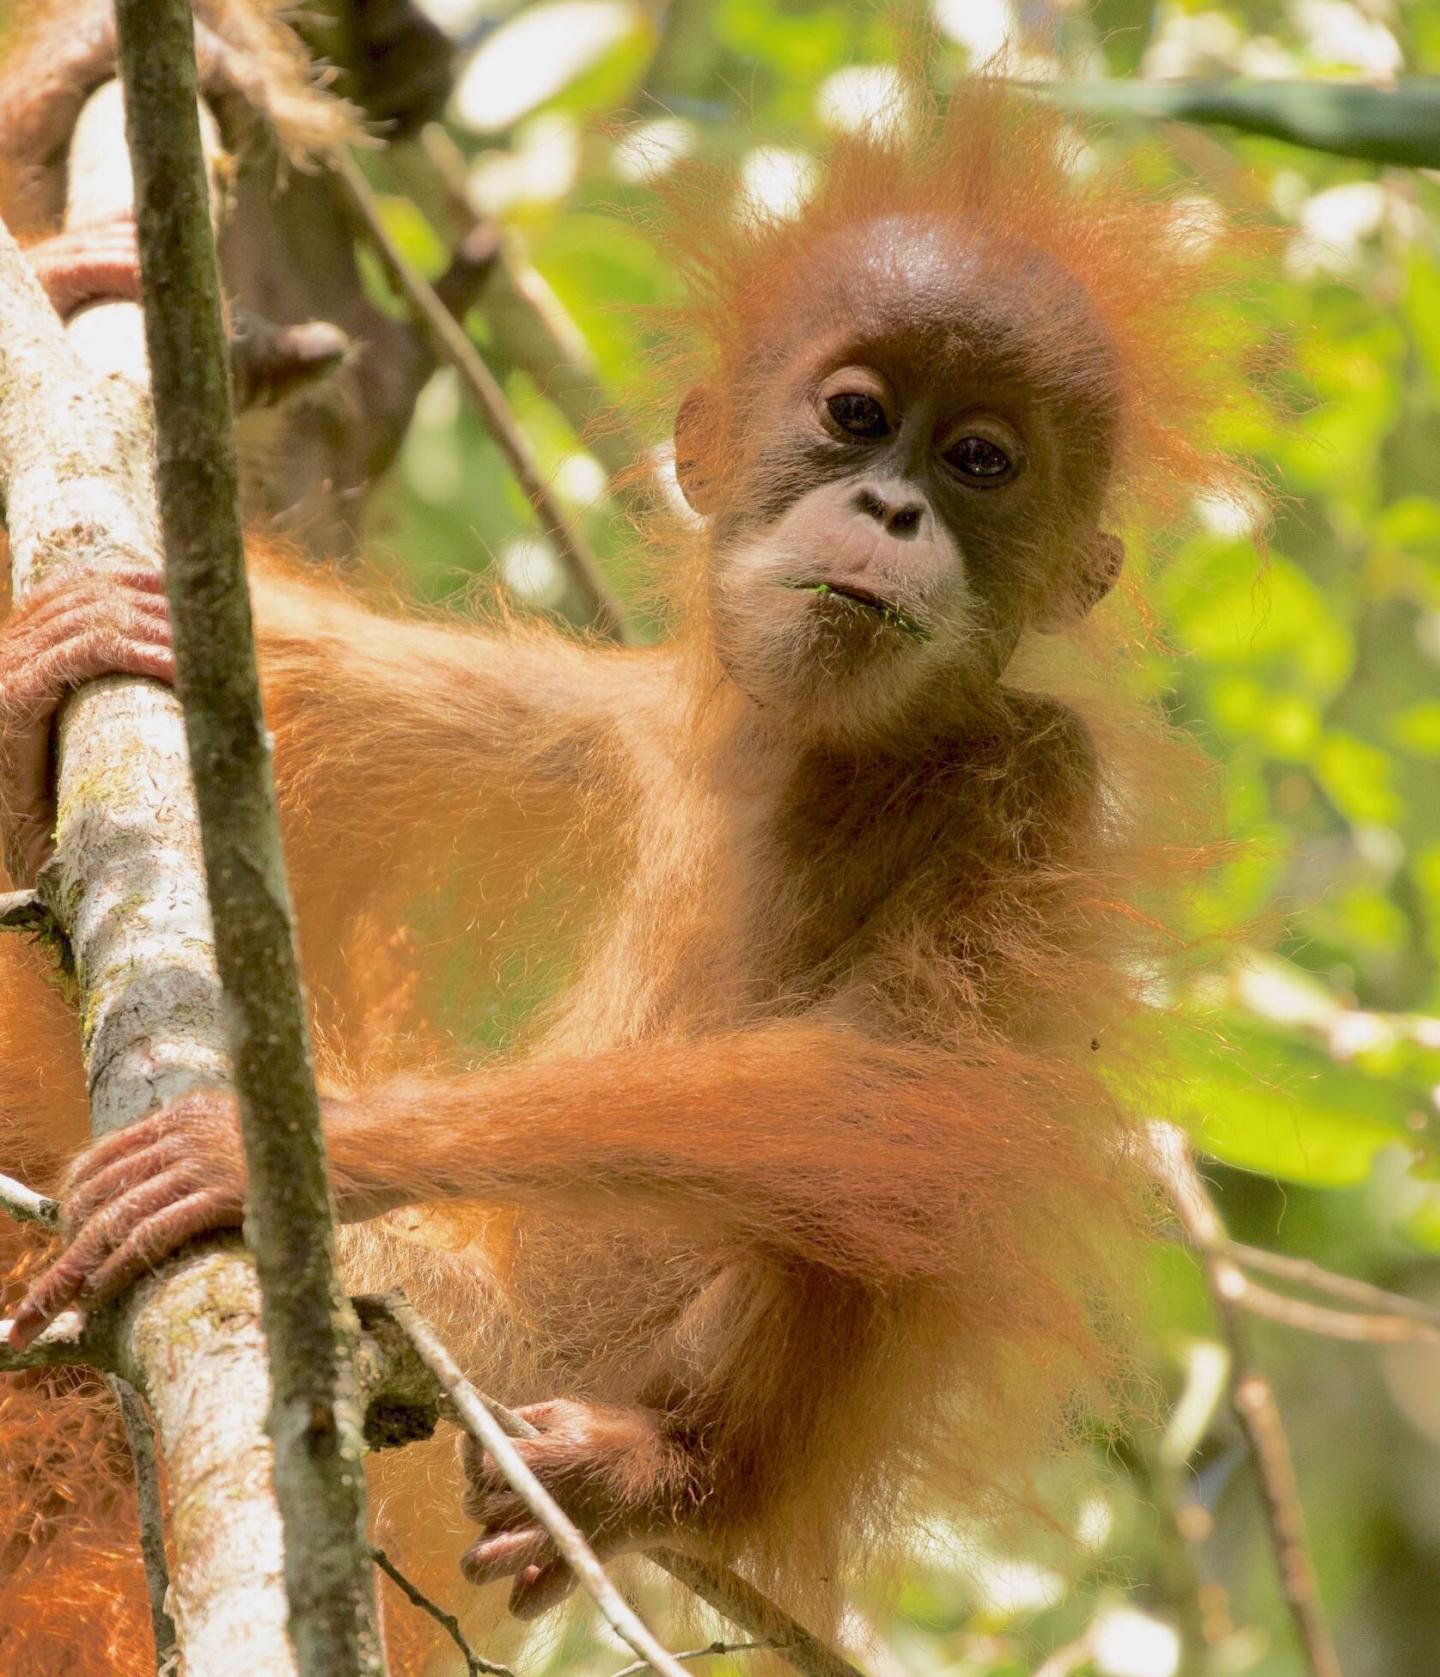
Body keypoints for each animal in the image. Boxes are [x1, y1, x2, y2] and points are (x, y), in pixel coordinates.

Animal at [0, 74, 1258, 1675]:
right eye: (856, 418)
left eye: (981, 462)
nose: (895, 511)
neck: (806, 754)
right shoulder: (607, 723)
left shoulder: (1047, 780)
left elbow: (908, 1094)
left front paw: (301, 1142)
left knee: (892, 1157)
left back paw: (657, 1473)